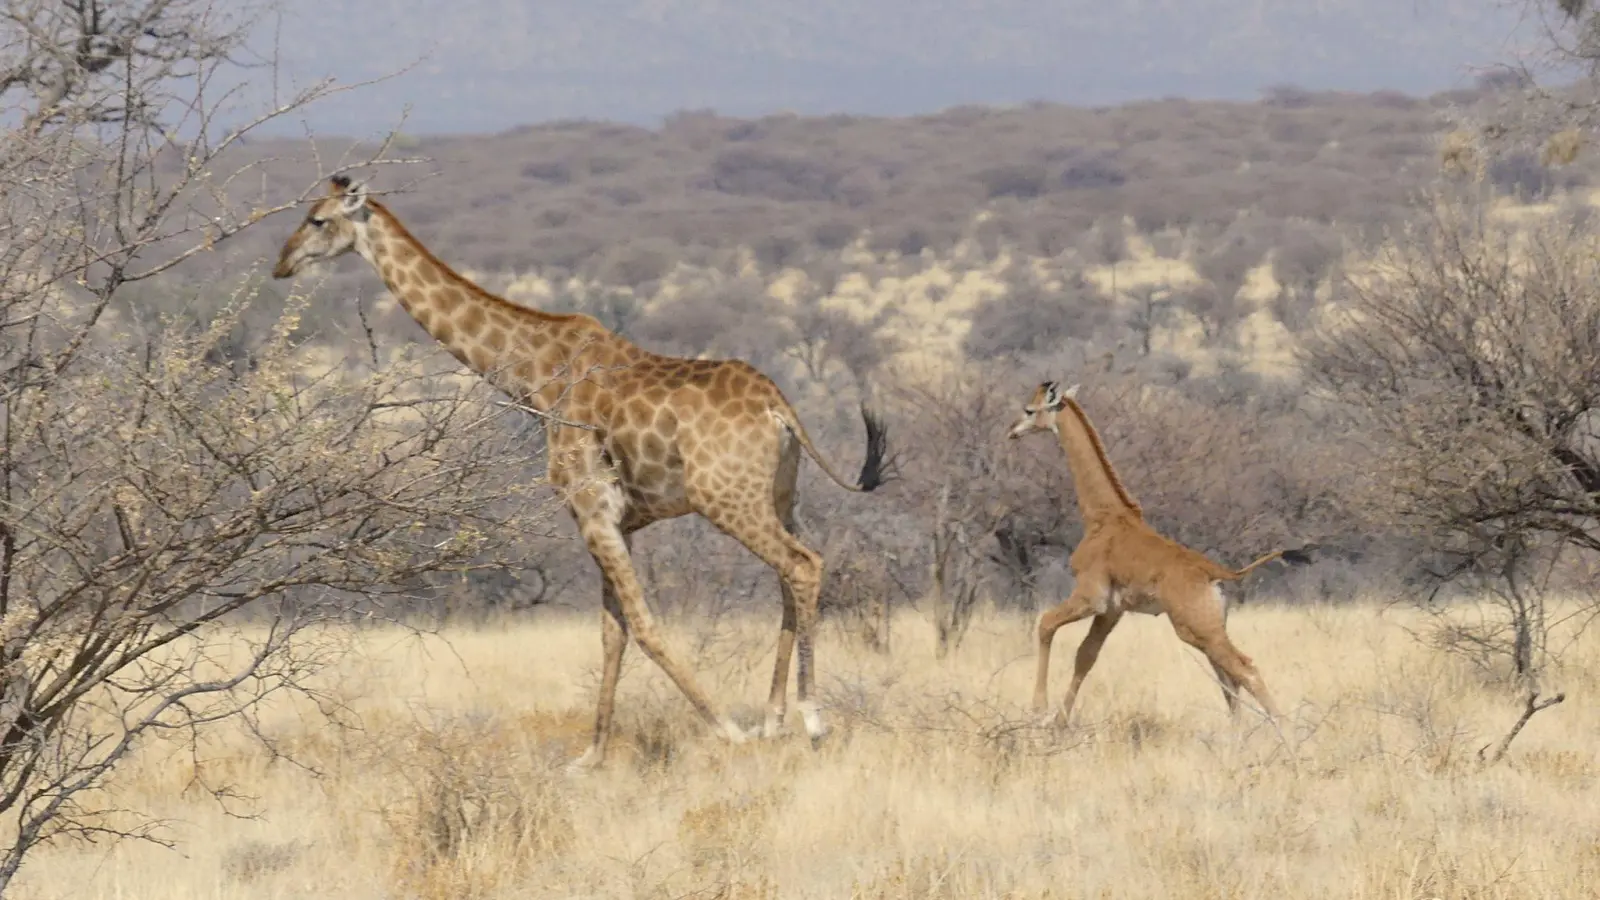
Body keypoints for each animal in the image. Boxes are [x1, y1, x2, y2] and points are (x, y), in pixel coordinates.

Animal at [265, 176, 889, 771]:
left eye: (316, 219)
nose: (281, 264)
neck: (534, 376)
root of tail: (779, 408)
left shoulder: (590, 509)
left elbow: (642, 624)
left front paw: (725, 732)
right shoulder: (619, 521)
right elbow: (613, 632)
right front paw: (592, 756)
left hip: (727, 499)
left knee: (802, 565)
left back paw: (810, 719)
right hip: (779, 495)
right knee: (789, 574)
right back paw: (774, 718)